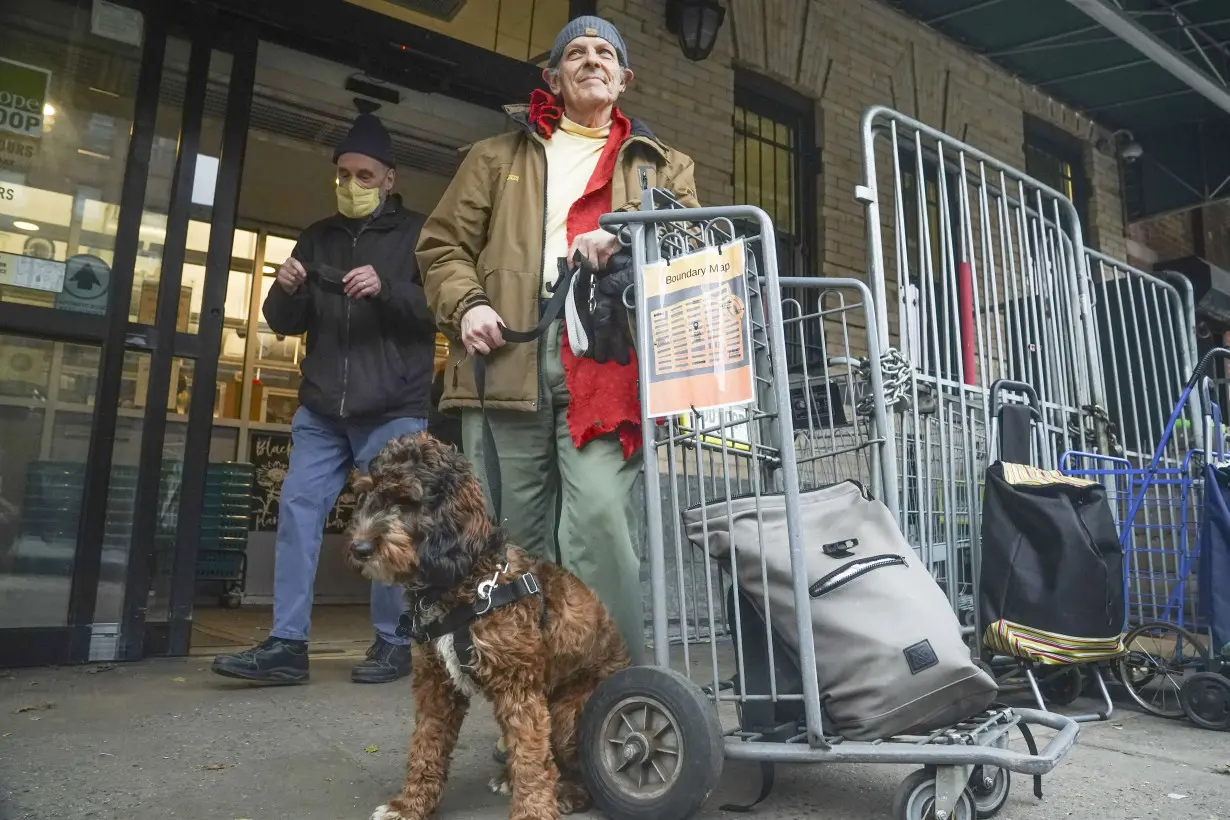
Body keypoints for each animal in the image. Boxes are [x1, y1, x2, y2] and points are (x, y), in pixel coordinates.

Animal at [346, 432, 634, 816]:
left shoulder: (518, 688)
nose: (359, 548)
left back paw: (569, 792)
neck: (466, 580)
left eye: (406, 500)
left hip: (569, 712)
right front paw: (409, 805)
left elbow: (531, 756)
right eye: (367, 494)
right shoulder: (435, 685)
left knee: (588, 767)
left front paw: (532, 810)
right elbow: (425, 746)